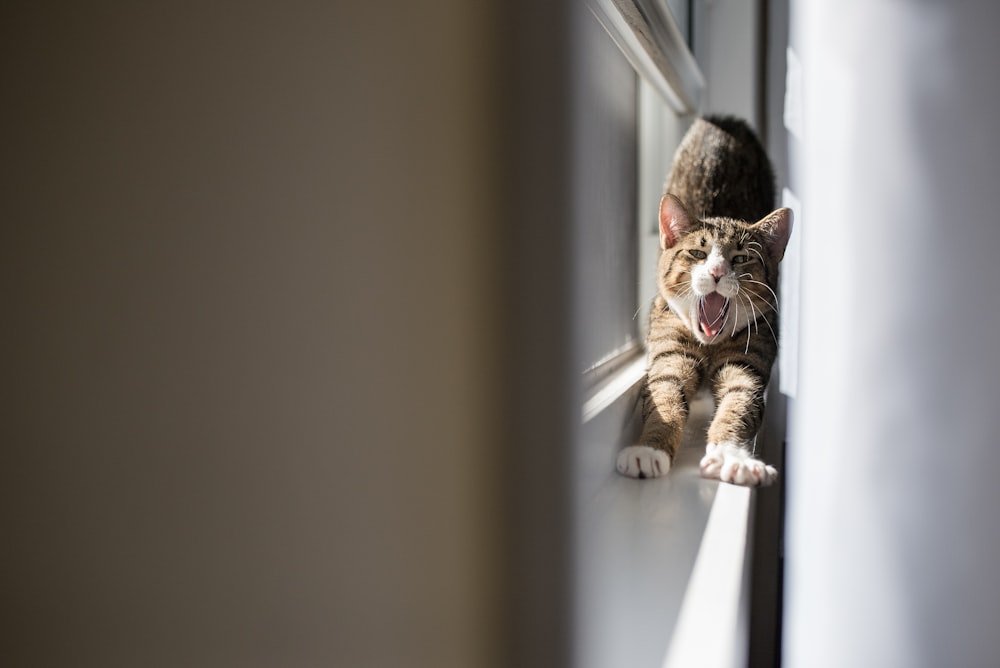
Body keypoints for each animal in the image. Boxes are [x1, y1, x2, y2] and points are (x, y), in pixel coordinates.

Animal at [612, 116, 792, 486]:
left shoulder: (751, 354)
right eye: (698, 253)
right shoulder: (669, 345)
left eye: (741, 258)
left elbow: (740, 399)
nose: (718, 271)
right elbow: (664, 392)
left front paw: (732, 457)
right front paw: (648, 449)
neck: (709, 345)